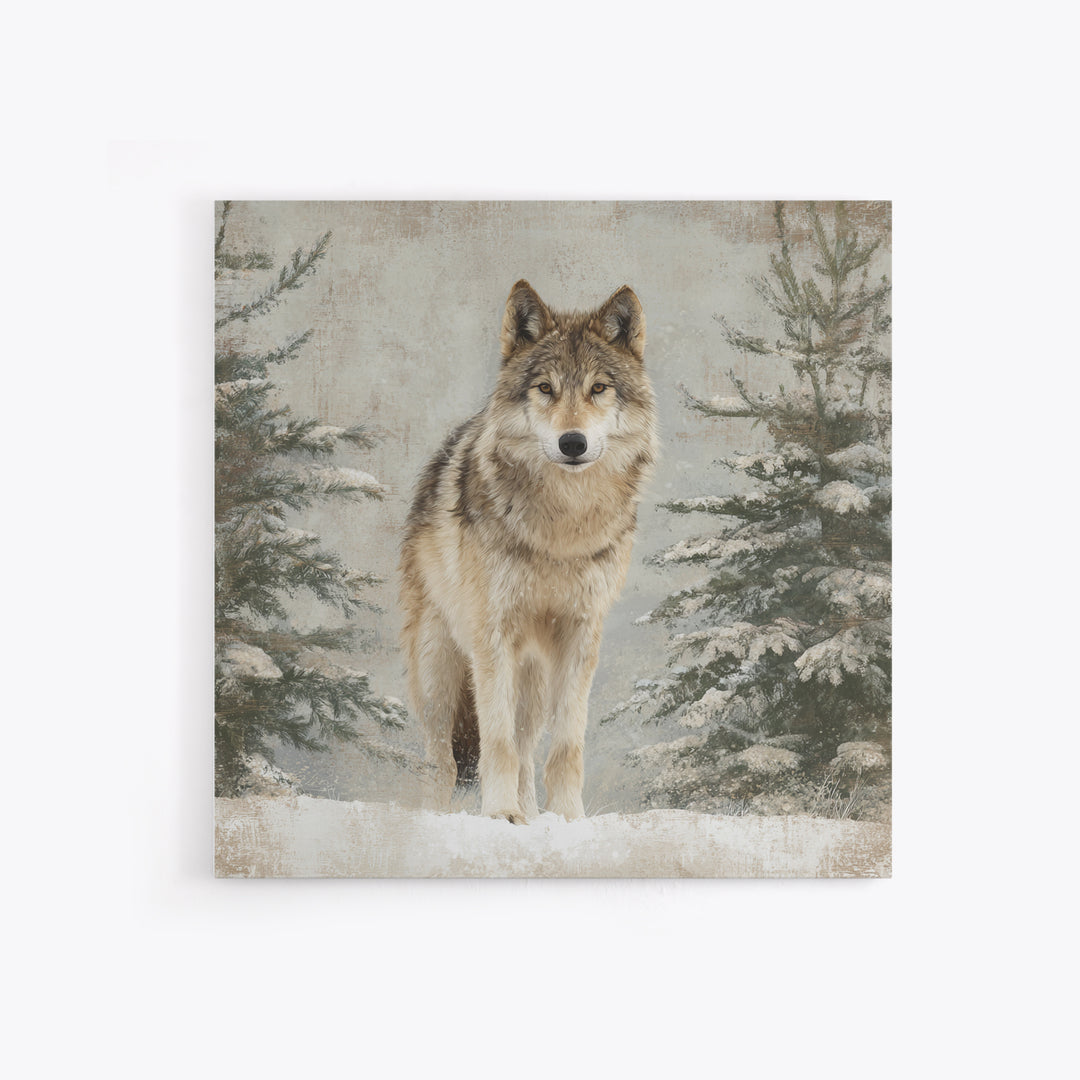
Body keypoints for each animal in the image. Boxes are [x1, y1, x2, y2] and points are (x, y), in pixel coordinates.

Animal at [400, 280, 658, 822]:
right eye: (545, 388)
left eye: (598, 388)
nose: (572, 442)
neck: (561, 528)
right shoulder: (493, 636)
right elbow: (495, 743)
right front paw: (498, 816)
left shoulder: (580, 637)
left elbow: (564, 747)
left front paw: (567, 819)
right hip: (440, 672)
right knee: (443, 760)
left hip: (534, 682)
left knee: (525, 751)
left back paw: (534, 816)